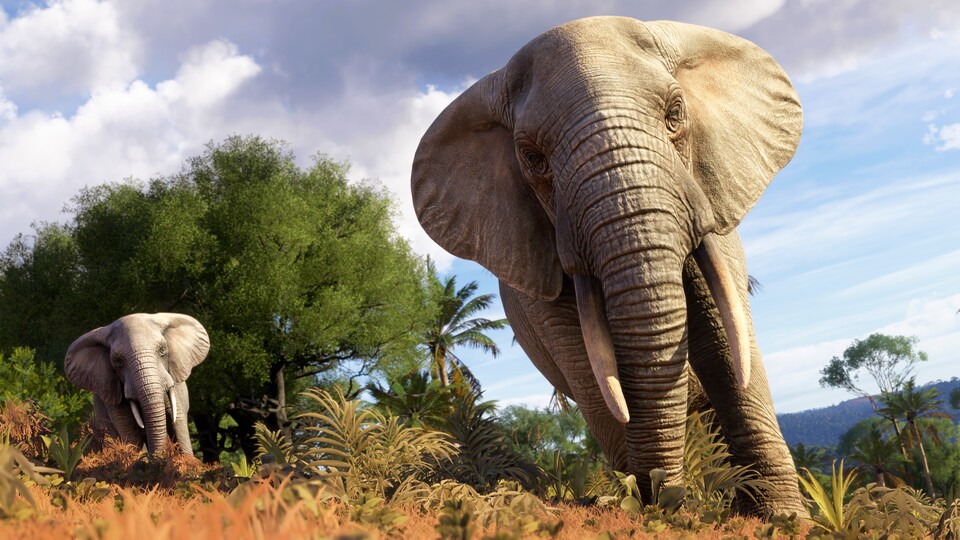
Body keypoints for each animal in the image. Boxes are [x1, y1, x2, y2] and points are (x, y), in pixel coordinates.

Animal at [411, 17, 804, 515]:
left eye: (675, 113)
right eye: (533, 158)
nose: (660, 496)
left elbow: (726, 344)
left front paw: (782, 516)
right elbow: (590, 370)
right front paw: (637, 502)